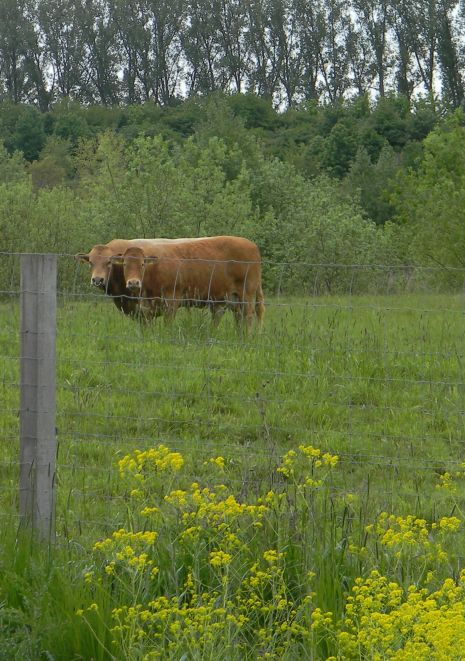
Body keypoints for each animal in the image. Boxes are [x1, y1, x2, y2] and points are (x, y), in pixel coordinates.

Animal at [111, 236, 264, 332]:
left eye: (142, 264)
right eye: (124, 264)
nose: (133, 282)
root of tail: (252, 245)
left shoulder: (171, 300)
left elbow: (168, 323)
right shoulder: (146, 307)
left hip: (247, 293)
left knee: (249, 315)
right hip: (231, 298)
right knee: (237, 317)